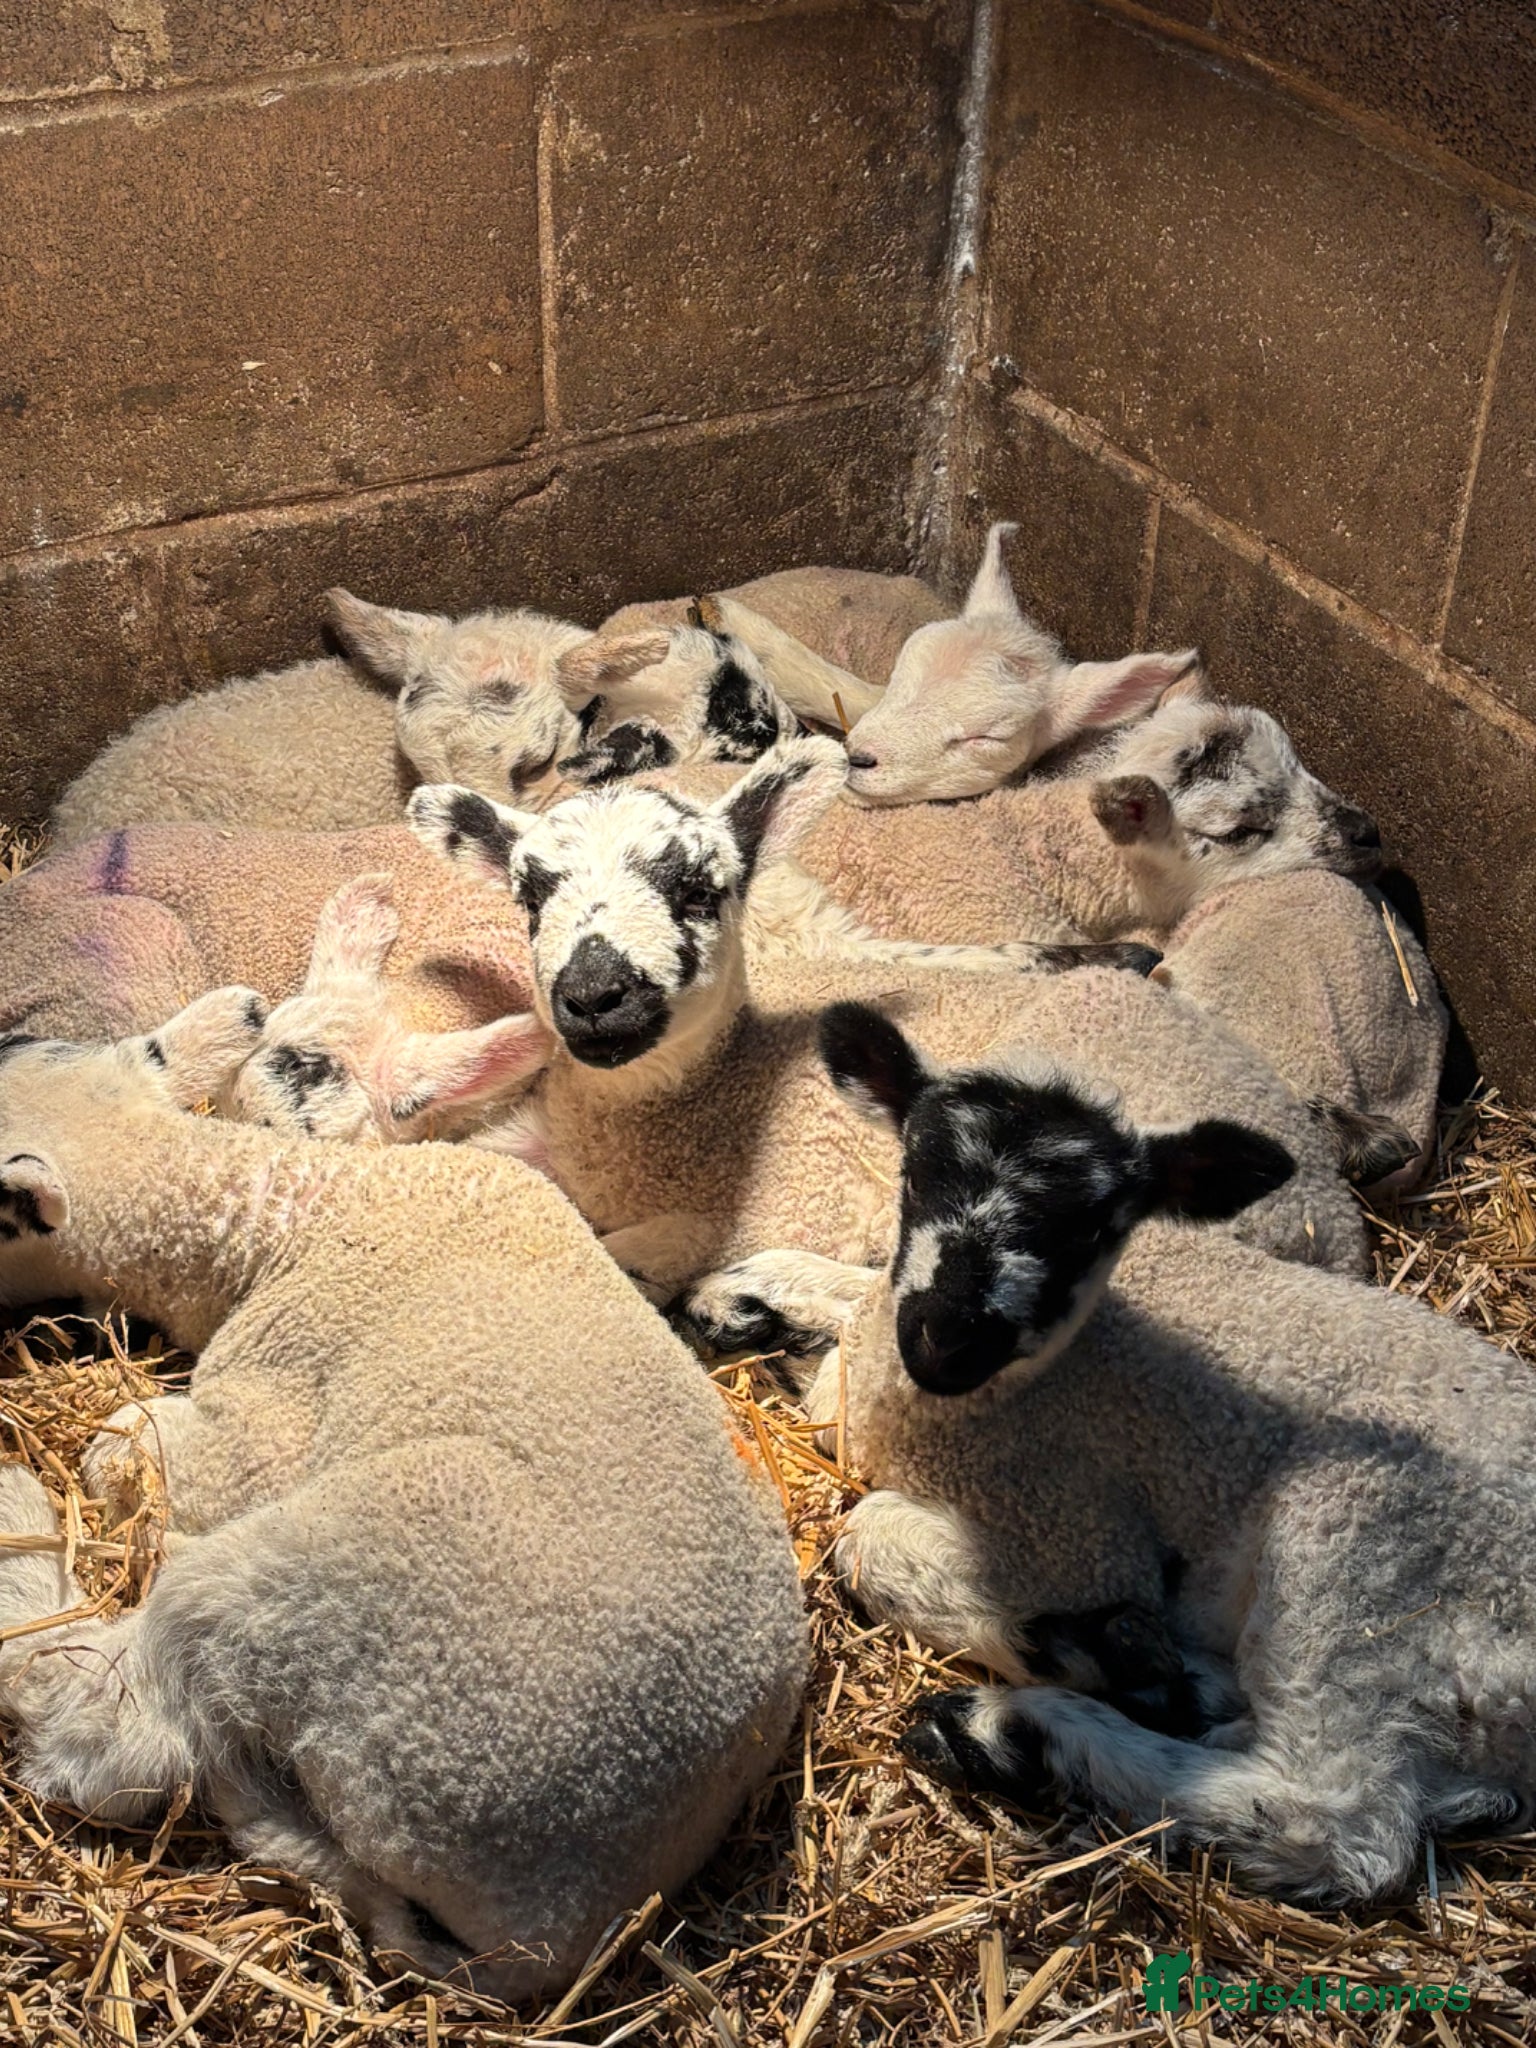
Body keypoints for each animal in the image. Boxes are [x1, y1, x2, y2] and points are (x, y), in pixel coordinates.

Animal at [0, 995, 808, 2000]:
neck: (277, 1213)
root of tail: (549, 1930)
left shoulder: (263, 1413)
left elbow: (120, 1450)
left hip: (330, 1582)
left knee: (106, 1742)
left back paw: (21, 1536)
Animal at [740, 1002, 1536, 1905]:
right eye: (915, 1174)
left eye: (1090, 1227)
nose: (946, 1336)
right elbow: (842, 1338)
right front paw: (750, 1292)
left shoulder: (1081, 1528)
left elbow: (865, 1534)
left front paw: (1073, 1649)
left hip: (1366, 1553)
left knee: (1336, 1822)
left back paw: (1021, 1728)